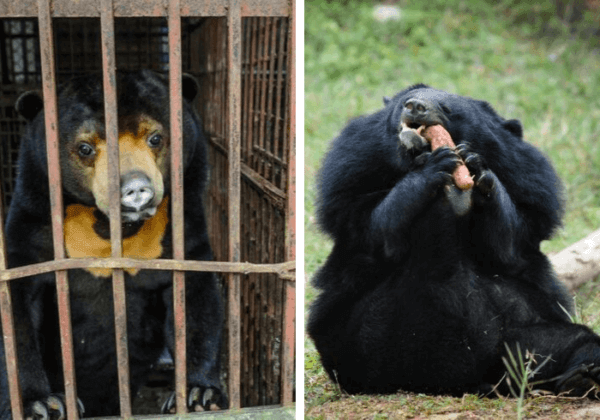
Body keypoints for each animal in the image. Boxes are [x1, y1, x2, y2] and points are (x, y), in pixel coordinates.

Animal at [0, 70, 227, 418]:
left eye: (155, 138)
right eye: (85, 148)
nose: (135, 189)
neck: (110, 228)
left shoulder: (181, 227)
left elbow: (195, 301)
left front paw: (199, 395)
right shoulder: (32, 223)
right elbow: (18, 311)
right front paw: (40, 405)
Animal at [308, 84, 600, 398]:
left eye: (448, 109)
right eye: (403, 102)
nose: (416, 106)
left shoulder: (530, 185)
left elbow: (508, 242)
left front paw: (477, 168)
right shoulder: (351, 172)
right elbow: (376, 228)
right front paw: (434, 168)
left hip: (526, 334)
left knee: (572, 342)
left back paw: (583, 376)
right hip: (360, 332)